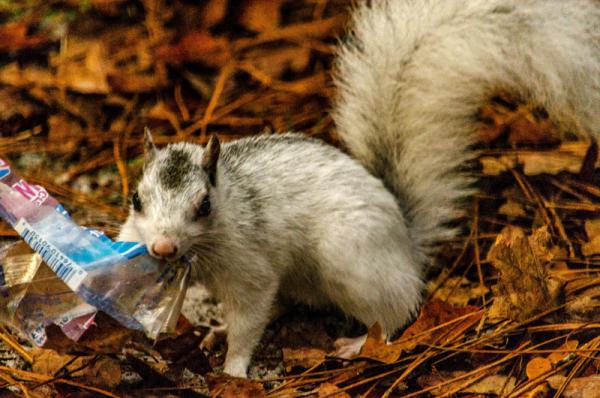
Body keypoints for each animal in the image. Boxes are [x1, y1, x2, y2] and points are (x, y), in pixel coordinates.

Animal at [118, 0, 600, 378]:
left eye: (204, 205)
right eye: (136, 199)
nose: (162, 248)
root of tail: (405, 238)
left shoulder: (249, 269)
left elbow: (251, 317)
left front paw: (235, 370)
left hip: (348, 258)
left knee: (396, 311)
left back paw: (360, 343)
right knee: (287, 302)